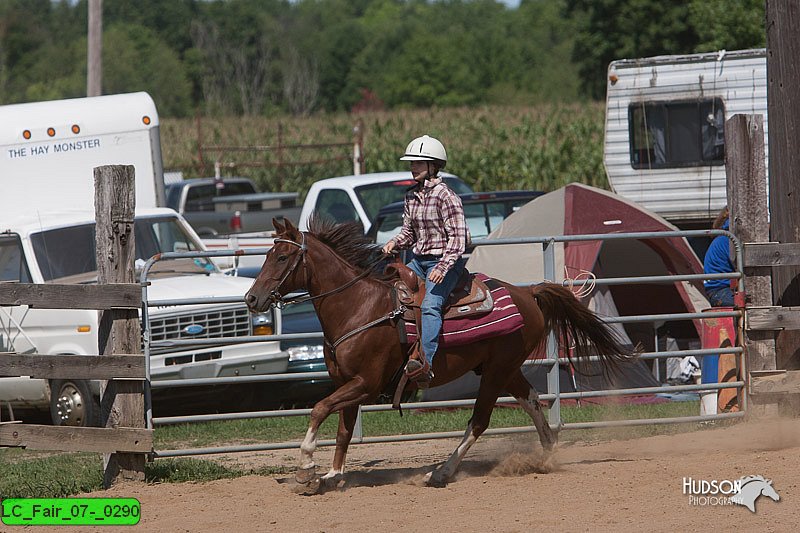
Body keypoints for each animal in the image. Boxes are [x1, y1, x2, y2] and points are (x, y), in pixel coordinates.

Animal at [247, 215, 636, 490]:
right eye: (267, 254)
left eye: (282, 257)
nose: (252, 298)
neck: (358, 308)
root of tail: (528, 293)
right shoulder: (348, 383)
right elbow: (343, 429)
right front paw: (331, 475)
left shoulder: (365, 384)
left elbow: (319, 409)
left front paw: (306, 469)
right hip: (505, 368)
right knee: (531, 400)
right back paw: (547, 453)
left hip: (497, 371)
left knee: (479, 421)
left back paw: (442, 472)